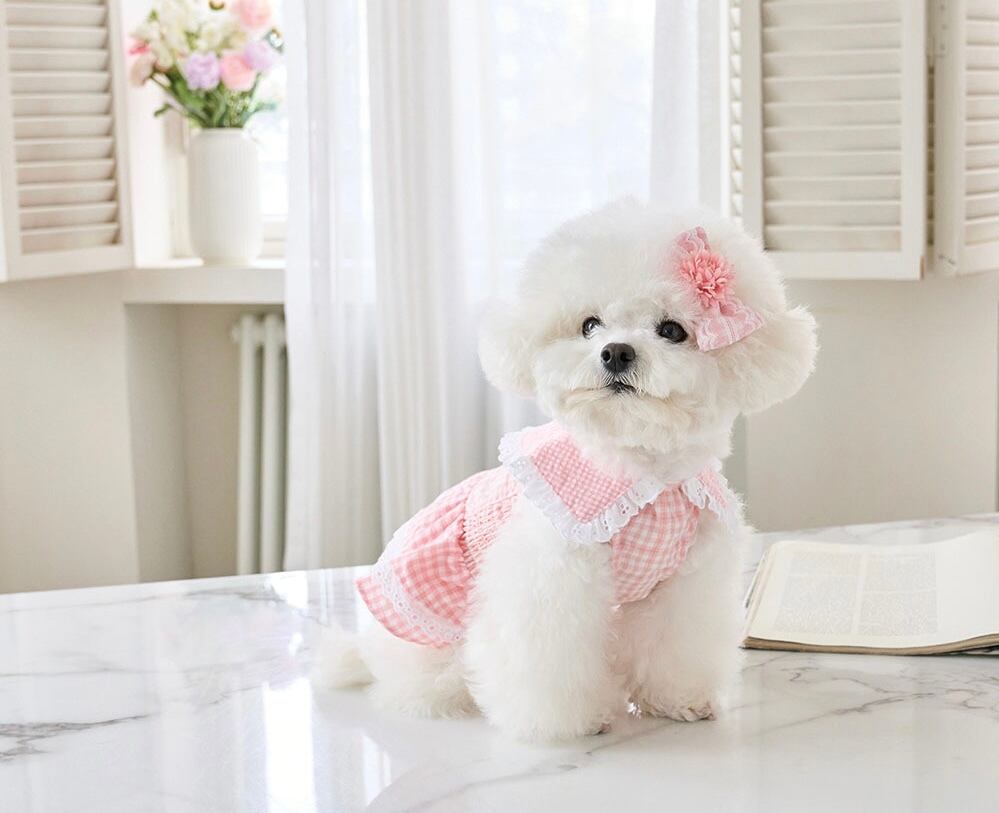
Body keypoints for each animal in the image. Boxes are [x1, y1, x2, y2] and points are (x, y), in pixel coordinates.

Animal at [317, 199, 817, 741]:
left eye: (671, 330)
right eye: (589, 325)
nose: (616, 352)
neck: (642, 471)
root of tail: (367, 651)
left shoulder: (686, 581)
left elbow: (675, 643)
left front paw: (677, 699)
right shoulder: (551, 575)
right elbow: (549, 654)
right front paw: (572, 722)